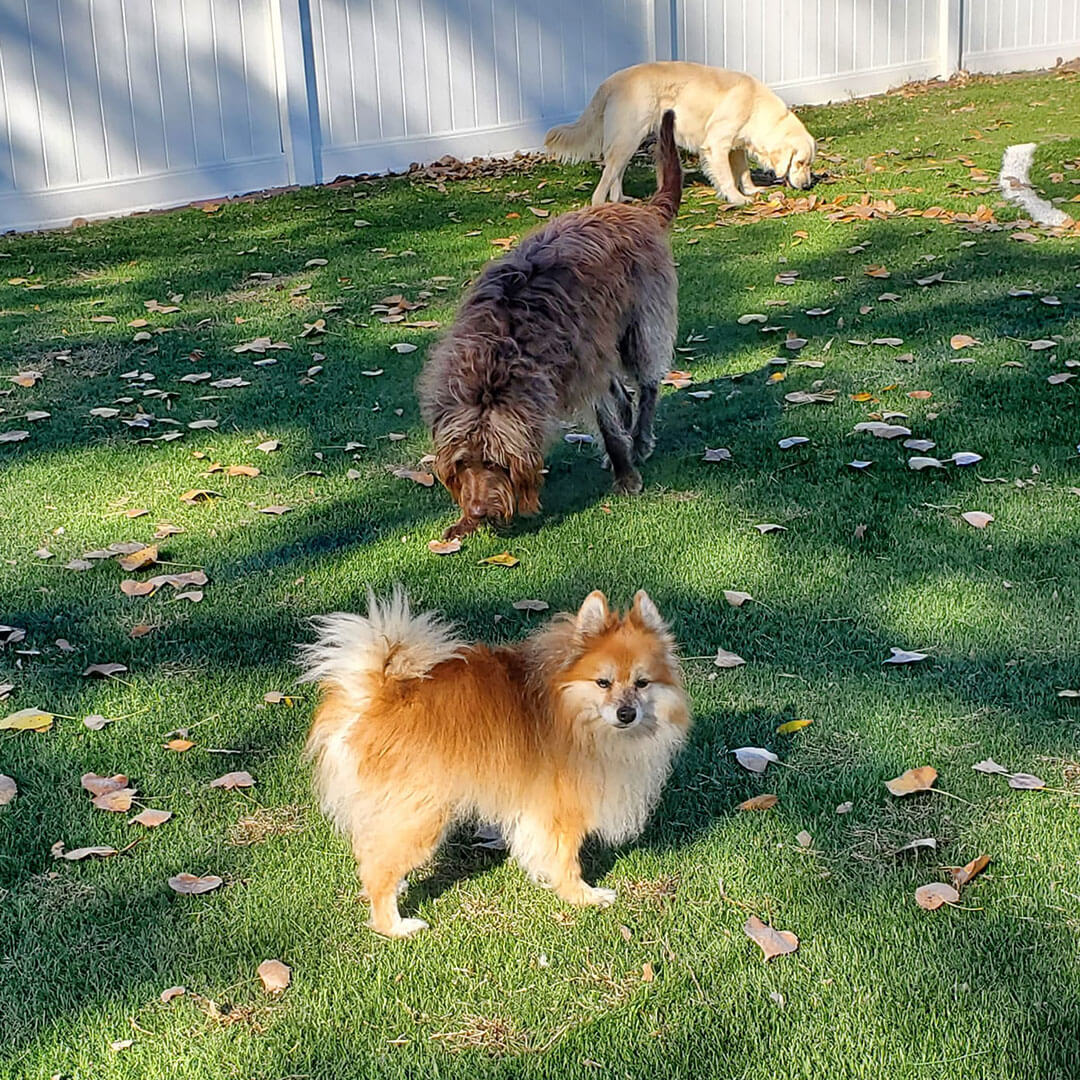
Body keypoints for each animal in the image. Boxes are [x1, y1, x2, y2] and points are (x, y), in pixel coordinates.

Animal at [302, 591, 691, 937]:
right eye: (603, 682)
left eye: (642, 683)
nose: (627, 713)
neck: (572, 711)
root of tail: (377, 695)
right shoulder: (561, 813)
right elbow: (566, 859)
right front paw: (583, 896)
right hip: (419, 815)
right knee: (377, 869)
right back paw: (396, 926)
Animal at [416, 107, 678, 537]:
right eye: (461, 464)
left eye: (497, 463)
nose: (479, 513)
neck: (501, 345)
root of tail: (635, 210)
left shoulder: (582, 366)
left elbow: (607, 423)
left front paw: (625, 474)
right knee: (620, 388)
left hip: (640, 325)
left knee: (648, 382)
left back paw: (639, 439)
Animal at [544, 61, 812, 206]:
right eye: (800, 162)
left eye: (808, 163)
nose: (808, 185)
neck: (755, 105)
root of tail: (610, 81)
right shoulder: (716, 145)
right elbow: (727, 176)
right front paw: (736, 198)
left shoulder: (736, 146)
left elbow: (743, 171)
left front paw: (751, 190)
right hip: (628, 138)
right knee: (604, 182)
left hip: (629, 141)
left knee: (615, 174)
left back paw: (621, 199)